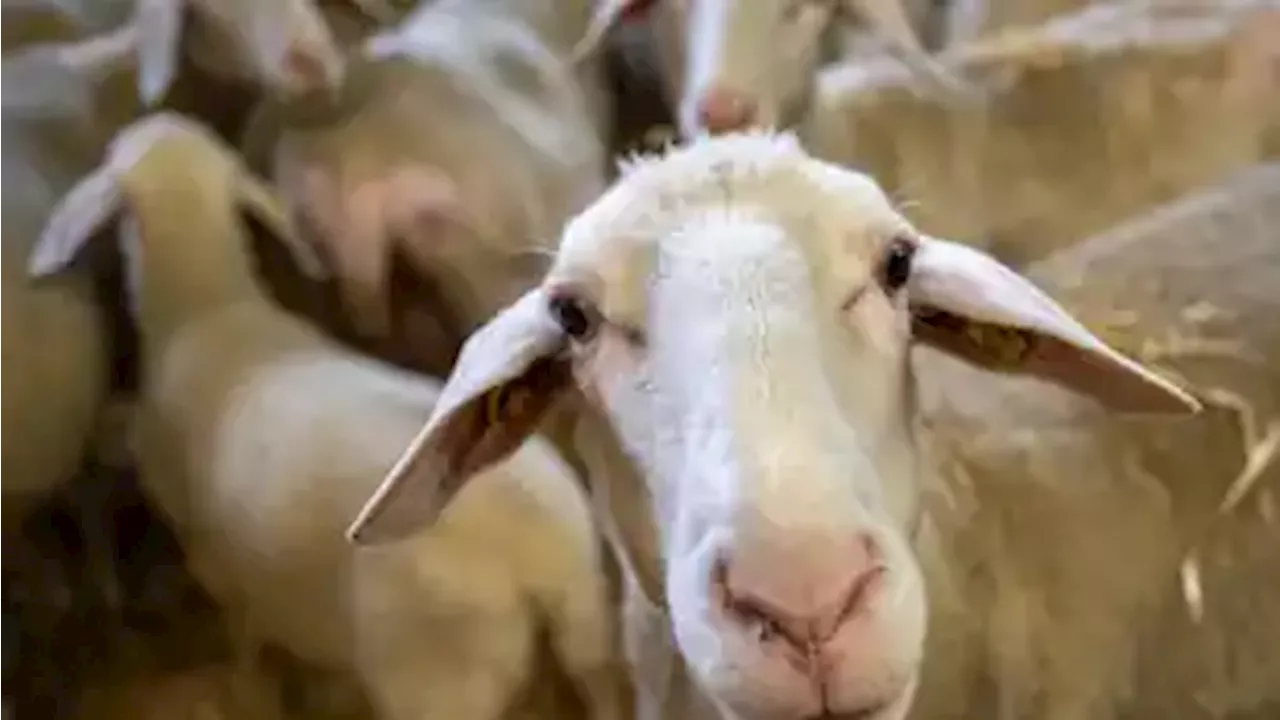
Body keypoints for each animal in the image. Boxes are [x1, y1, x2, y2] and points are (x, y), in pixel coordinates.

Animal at [27, 110, 627, 717]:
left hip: (437, 674)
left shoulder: (216, 564)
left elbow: (246, 644)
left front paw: (252, 690)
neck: (206, 305)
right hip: (587, 626)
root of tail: (535, 549)